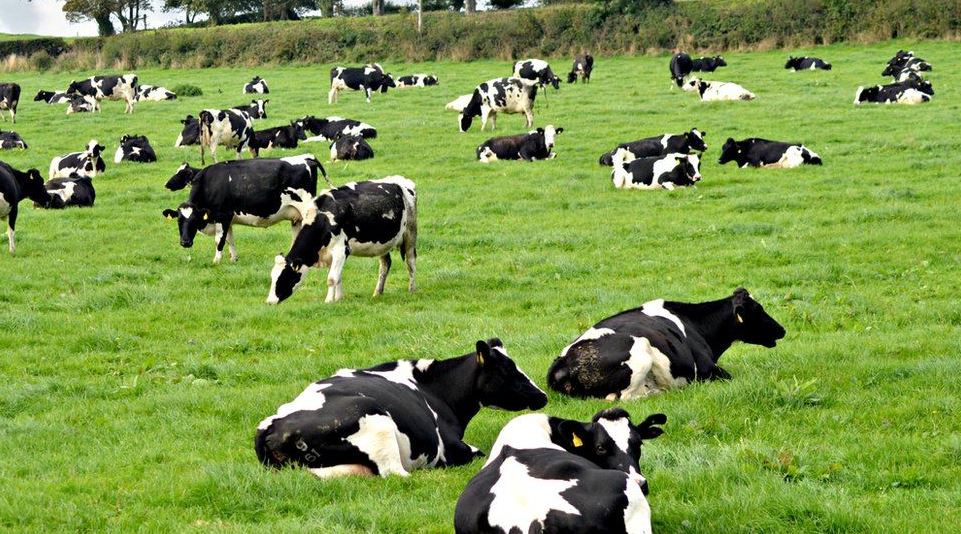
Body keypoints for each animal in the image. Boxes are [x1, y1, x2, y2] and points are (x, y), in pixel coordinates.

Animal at [162, 156, 322, 264]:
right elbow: (229, 239)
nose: (185, 242)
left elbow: (219, 240)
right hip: (296, 216)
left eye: (194, 220)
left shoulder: (223, 215)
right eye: (179, 221)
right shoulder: (228, 219)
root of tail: (307, 158)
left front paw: (216, 261)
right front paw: (233, 259)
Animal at [254, 337, 548, 478]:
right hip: (377, 423)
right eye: (508, 369)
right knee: (395, 473)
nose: (542, 396)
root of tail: (272, 426)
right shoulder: (453, 447)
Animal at [266, 176, 416, 304]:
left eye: (285, 277)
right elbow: (338, 277)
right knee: (385, 265)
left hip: (410, 233)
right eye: (272, 277)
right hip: (383, 243)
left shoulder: (340, 250)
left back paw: (411, 290)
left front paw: (328, 301)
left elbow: (332, 278)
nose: (269, 301)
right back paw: (377, 293)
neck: (324, 218)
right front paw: (338, 299)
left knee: (410, 262)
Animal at [547, 288, 786, 400]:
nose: (782, 329)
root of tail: (563, 361)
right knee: (624, 398)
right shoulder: (707, 369)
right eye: (759, 309)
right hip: (641, 353)